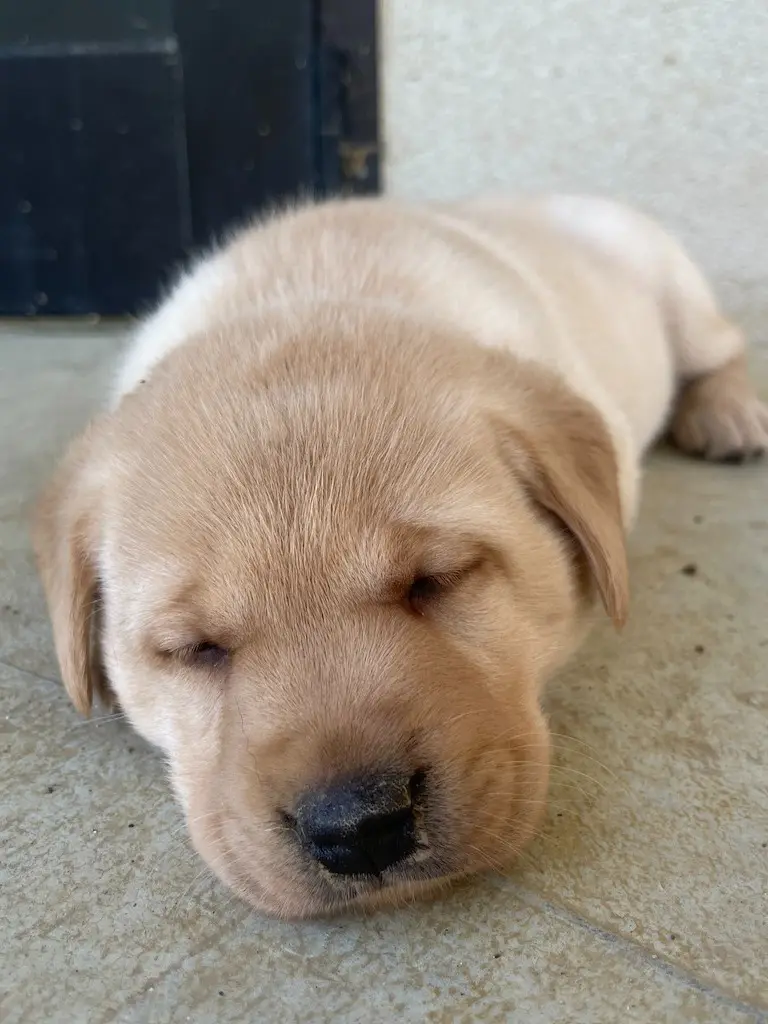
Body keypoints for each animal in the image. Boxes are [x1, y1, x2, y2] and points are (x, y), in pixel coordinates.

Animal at [31, 195, 768, 917]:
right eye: (194, 648)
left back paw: (729, 412)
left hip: (677, 290)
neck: (313, 288)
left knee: (722, 346)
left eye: (437, 580)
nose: (357, 828)